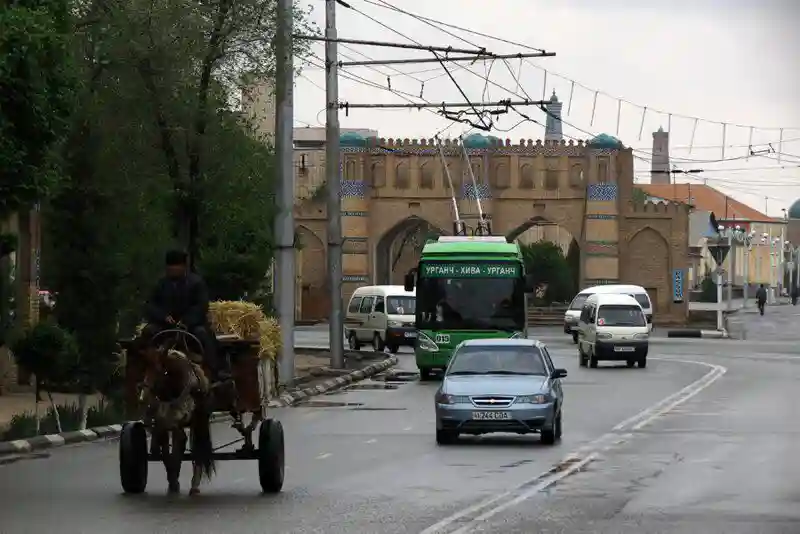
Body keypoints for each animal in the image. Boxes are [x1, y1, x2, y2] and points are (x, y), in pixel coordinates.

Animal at [140, 330, 216, 498]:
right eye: (145, 368)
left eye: (160, 369)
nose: (144, 397)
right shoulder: (162, 422)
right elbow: (166, 453)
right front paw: (172, 482)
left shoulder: (177, 422)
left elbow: (176, 452)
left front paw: (175, 481)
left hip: (198, 420)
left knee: (197, 449)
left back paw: (194, 484)